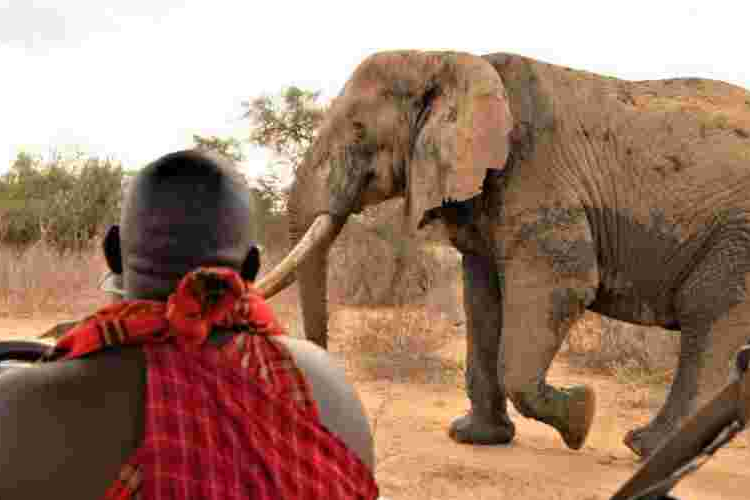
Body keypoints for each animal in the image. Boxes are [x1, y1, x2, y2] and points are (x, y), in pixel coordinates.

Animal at [255, 50, 750, 458]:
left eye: (359, 129)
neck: (450, 59)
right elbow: (482, 299)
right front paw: (475, 437)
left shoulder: (537, 175)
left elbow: (565, 285)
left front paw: (582, 417)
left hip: (736, 236)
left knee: (708, 315)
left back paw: (649, 448)